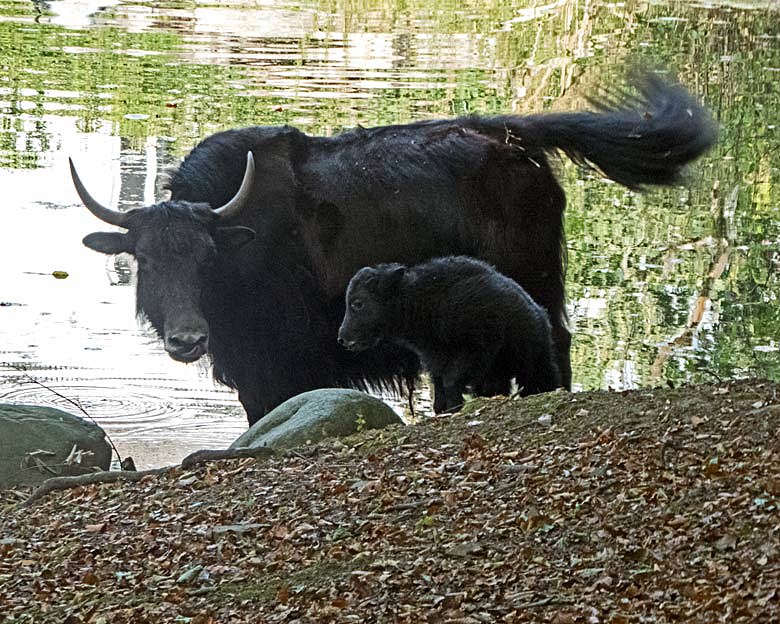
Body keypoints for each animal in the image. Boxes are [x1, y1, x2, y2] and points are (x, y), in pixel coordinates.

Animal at [338, 256, 556, 412]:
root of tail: (539, 314)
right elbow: (439, 386)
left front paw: (454, 407)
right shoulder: (434, 361)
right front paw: (443, 410)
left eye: (358, 303)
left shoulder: (472, 351)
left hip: (534, 364)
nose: (342, 338)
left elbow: (451, 382)